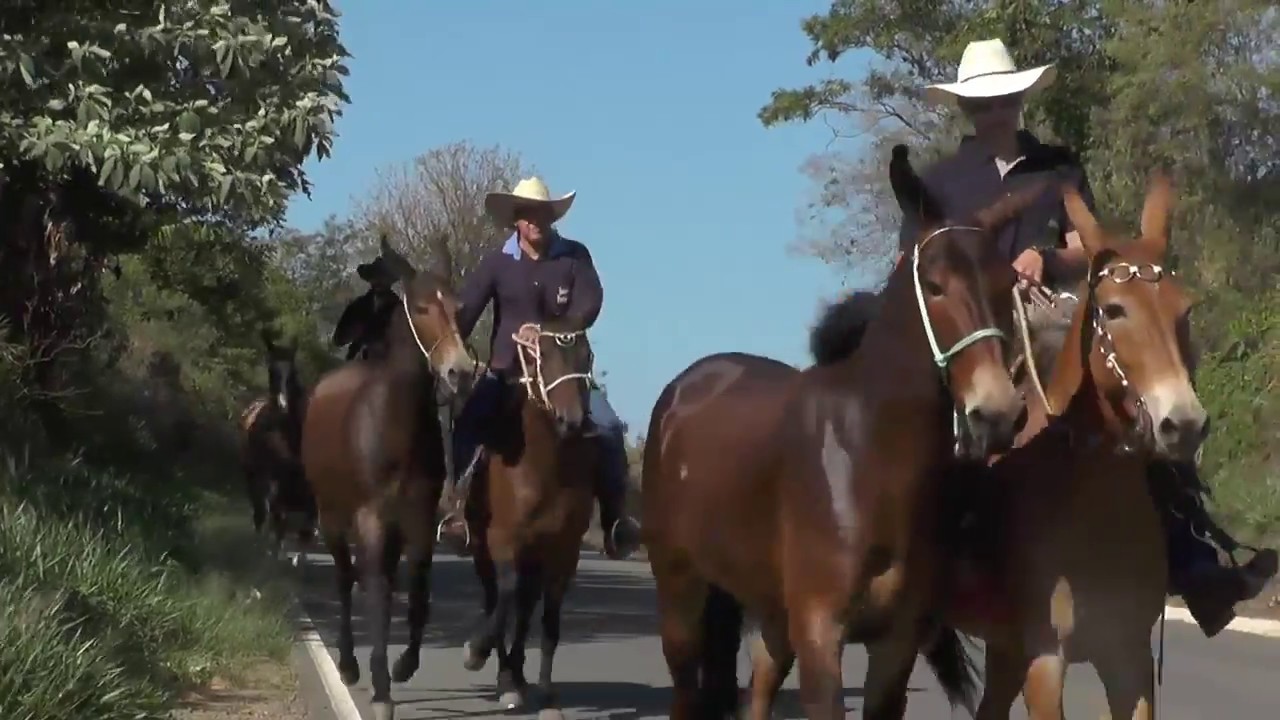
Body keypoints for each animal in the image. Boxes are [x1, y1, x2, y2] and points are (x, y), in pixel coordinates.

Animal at [239, 331, 315, 566]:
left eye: (293, 373)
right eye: (271, 371)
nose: (282, 405)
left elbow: (306, 522)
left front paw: (299, 557)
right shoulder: (276, 479)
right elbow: (276, 516)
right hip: (254, 476)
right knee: (262, 511)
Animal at [300, 236, 477, 720]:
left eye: (458, 306)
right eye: (420, 306)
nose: (460, 372)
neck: (393, 423)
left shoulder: (418, 520)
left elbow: (417, 592)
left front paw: (402, 665)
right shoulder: (371, 520)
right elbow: (376, 593)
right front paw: (380, 690)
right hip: (332, 518)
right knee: (346, 580)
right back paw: (349, 666)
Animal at [457, 317, 600, 720]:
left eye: (587, 356)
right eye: (543, 356)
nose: (572, 421)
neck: (546, 466)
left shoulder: (564, 553)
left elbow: (549, 622)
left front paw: (548, 696)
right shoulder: (503, 540)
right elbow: (504, 596)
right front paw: (477, 651)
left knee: (523, 609)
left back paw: (518, 676)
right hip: (486, 548)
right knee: (498, 598)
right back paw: (505, 675)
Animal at [641, 144, 1043, 720]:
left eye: (1007, 285)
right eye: (935, 285)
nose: (998, 413)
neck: (868, 455)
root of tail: (687, 388)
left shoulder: (895, 641)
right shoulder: (819, 630)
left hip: (769, 616)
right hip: (680, 592)